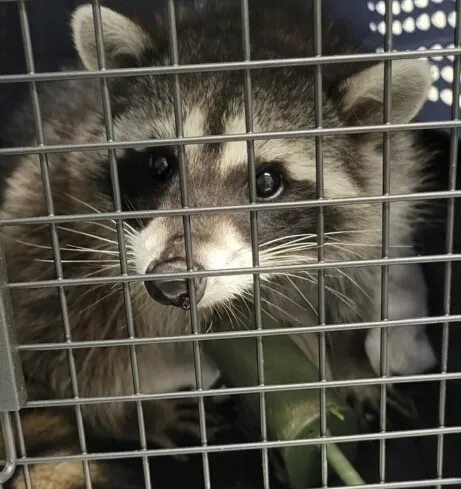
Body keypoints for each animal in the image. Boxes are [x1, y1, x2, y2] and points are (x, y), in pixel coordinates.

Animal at [0, 0, 434, 466]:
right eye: (159, 165)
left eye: (267, 182)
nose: (172, 281)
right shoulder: (59, 208)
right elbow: (68, 338)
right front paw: (125, 414)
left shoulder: (385, 198)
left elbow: (354, 285)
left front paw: (353, 362)